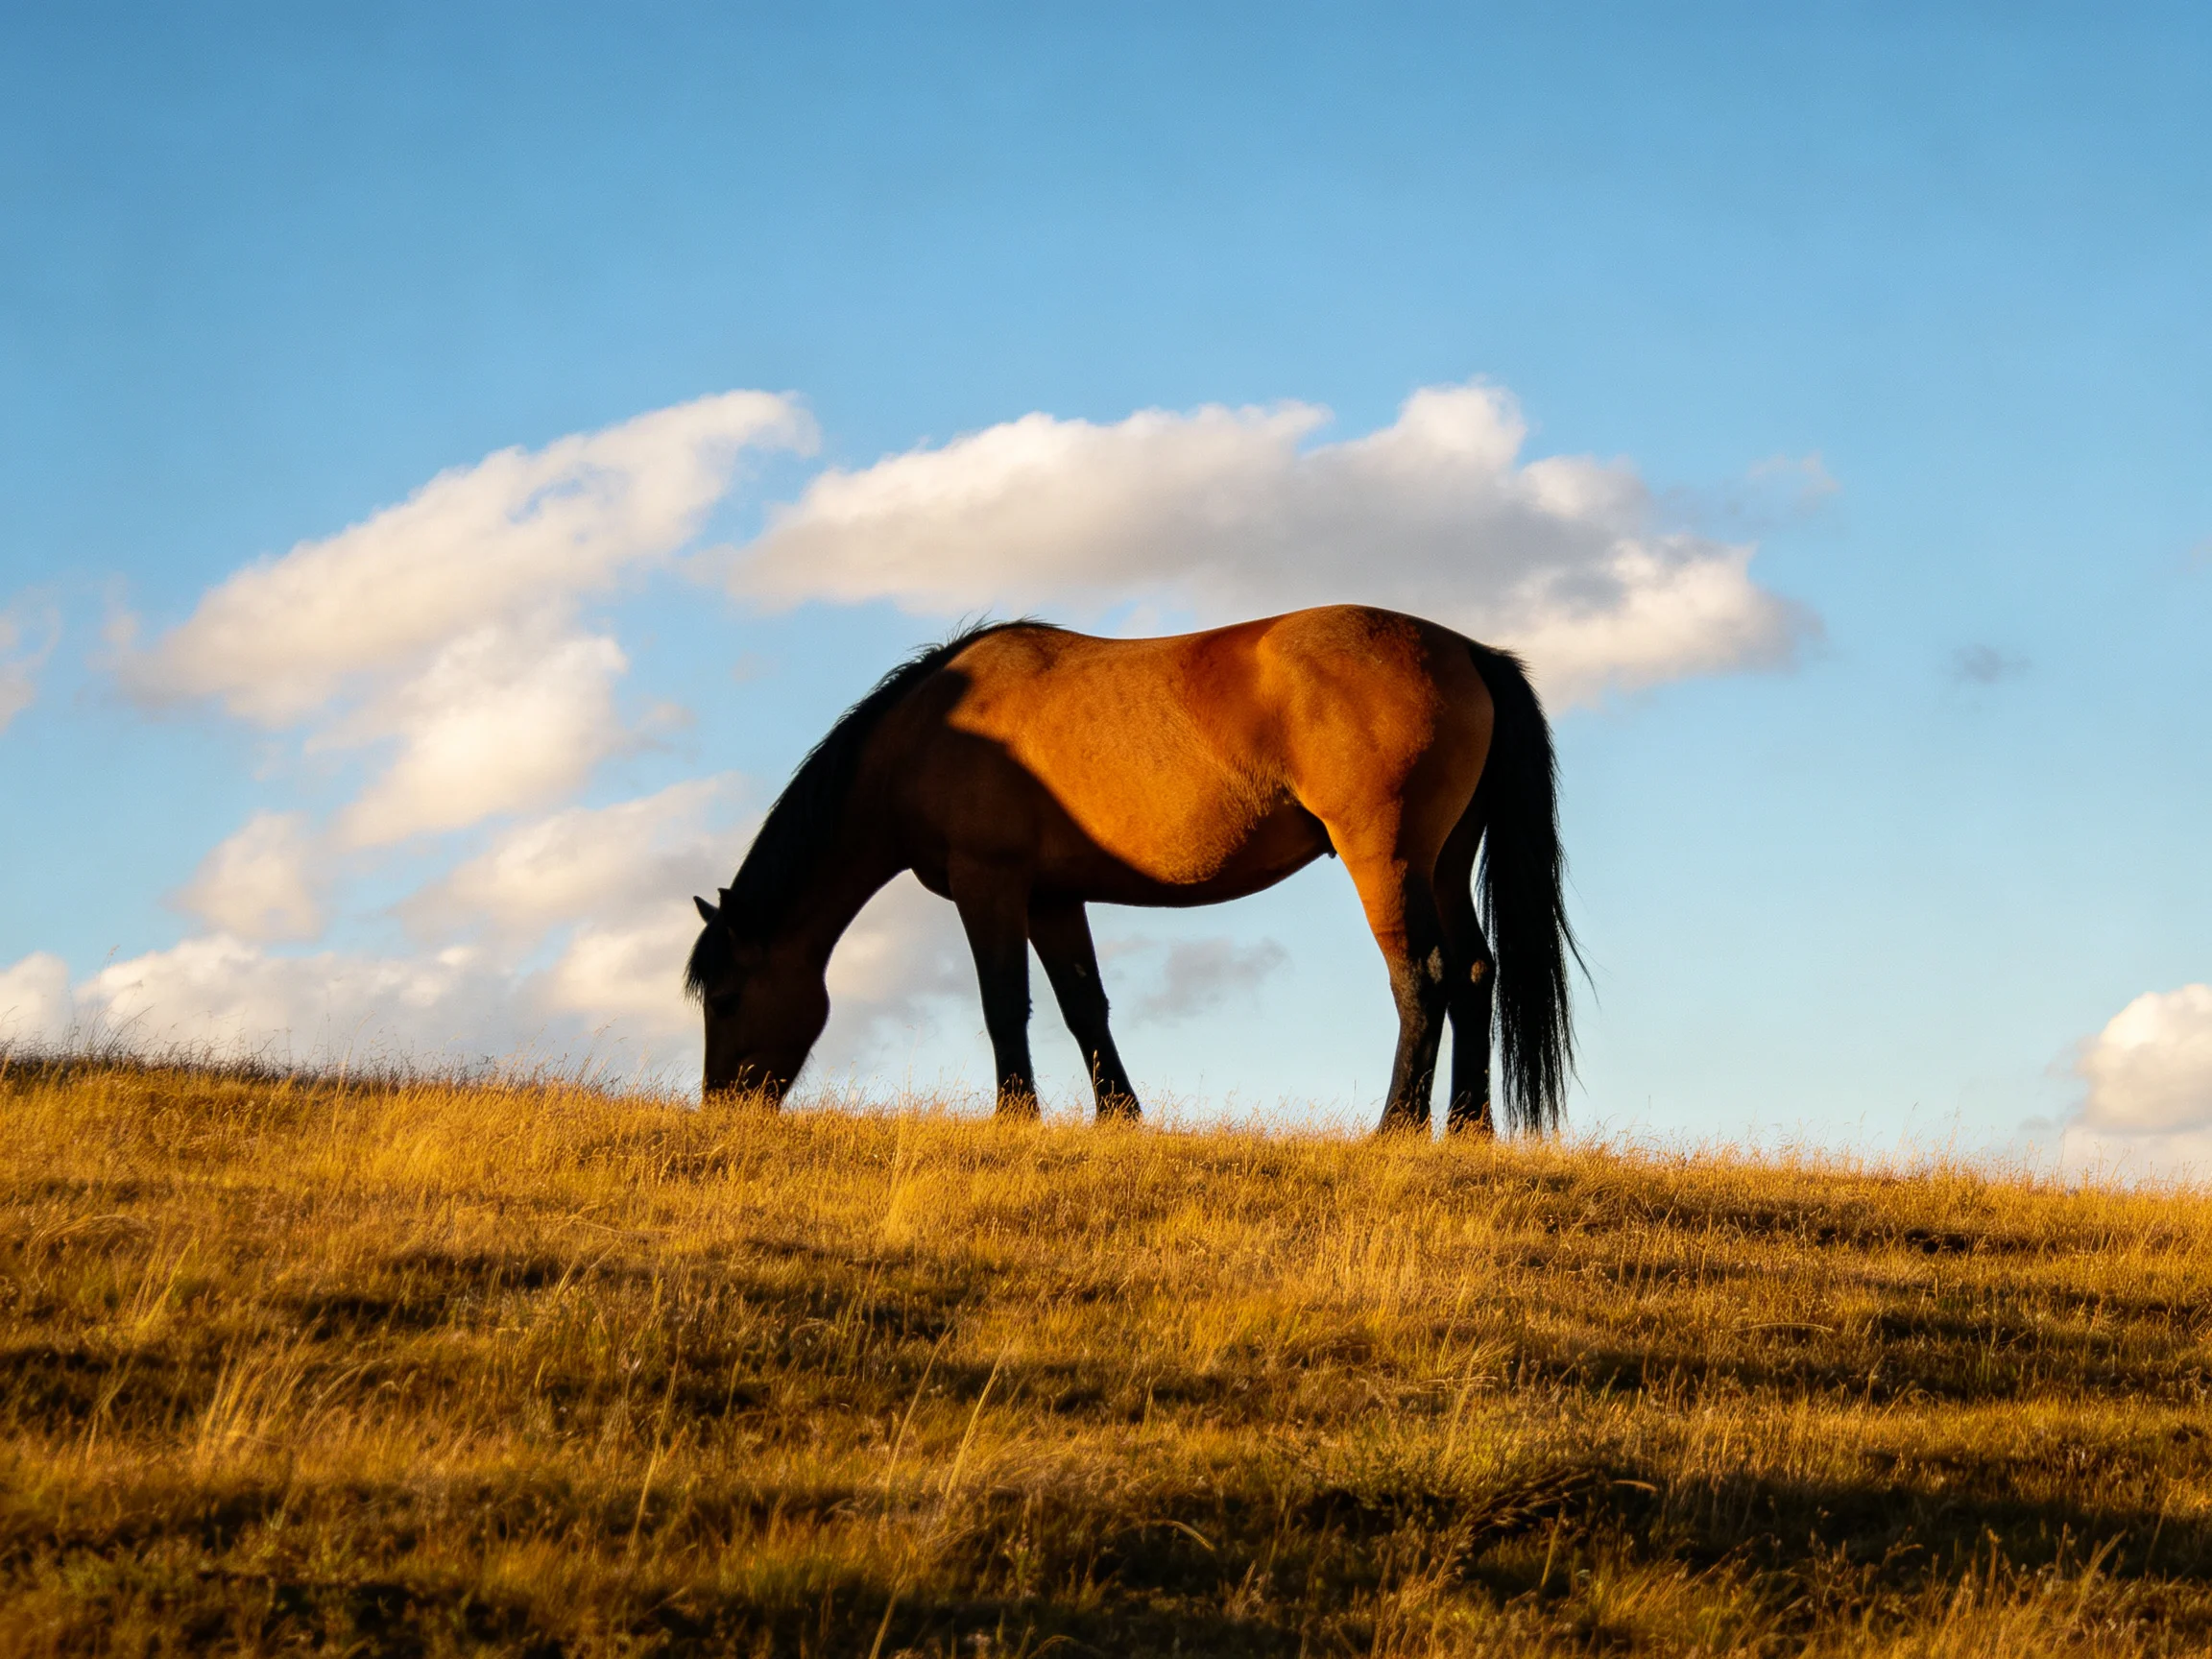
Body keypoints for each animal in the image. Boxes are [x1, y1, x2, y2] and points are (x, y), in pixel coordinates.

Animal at [686, 604, 1577, 1134]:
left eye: (725, 998)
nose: (720, 1106)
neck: (926, 733)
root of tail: (1467, 649)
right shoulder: (1051, 898)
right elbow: (1084, 1007)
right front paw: (1120, 1117)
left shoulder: (989, 885)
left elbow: (1004, 1005)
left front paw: (1017, 1118)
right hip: (1445, 861)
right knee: (1474, 970)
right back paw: (1467, 1129)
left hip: (1387, 859)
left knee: (1423, 976)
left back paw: (1396, 1130)